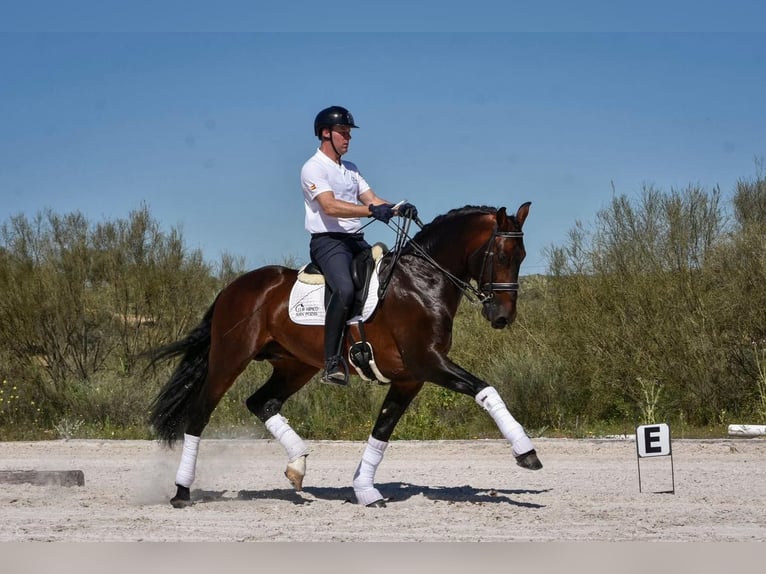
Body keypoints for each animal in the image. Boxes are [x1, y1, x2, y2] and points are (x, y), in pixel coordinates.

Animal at [148, 202, 542, 508]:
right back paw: (182, 492)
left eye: (522, 257)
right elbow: (485, 389)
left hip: (295, 366)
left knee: (261, 402)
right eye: (502, 256)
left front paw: (365, 490)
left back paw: (298, 466)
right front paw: (526, 452)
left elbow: (382, 430)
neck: (423, 280)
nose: (502, 316)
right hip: (230, 359)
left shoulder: (409, 378)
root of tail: (234, 287)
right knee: (199, 414)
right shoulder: (428, 363)